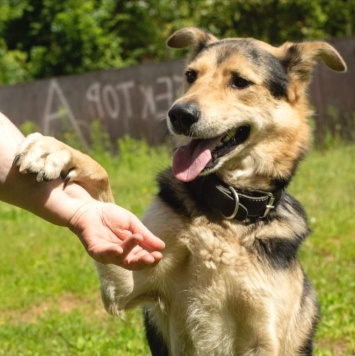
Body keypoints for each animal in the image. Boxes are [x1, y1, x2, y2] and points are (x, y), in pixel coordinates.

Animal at [14, 26, 348, 354]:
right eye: (191, 76)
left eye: (240, 82)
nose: (178, 114)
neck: (226, 215)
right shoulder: (126, 285)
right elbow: (102, 182)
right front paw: (55, 151)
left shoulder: (263, 337)